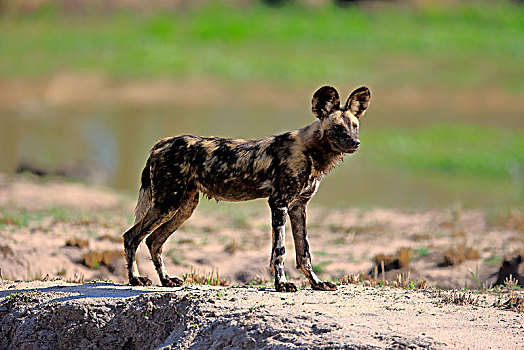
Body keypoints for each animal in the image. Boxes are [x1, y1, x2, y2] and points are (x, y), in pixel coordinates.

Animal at [123, 85, 370, 292]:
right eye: (337, 128)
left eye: (355, 127)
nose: (355, 143)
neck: (312, 152)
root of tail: (160, 143)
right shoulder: (279, 203)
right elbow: (280, 251)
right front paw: (282, 284)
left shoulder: (298, 208)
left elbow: (305, 252)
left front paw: (317, 283)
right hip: (167, 204)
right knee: (131, 236)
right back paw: (135, 279)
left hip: (184, 207)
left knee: (154, 241)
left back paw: (166, 280)